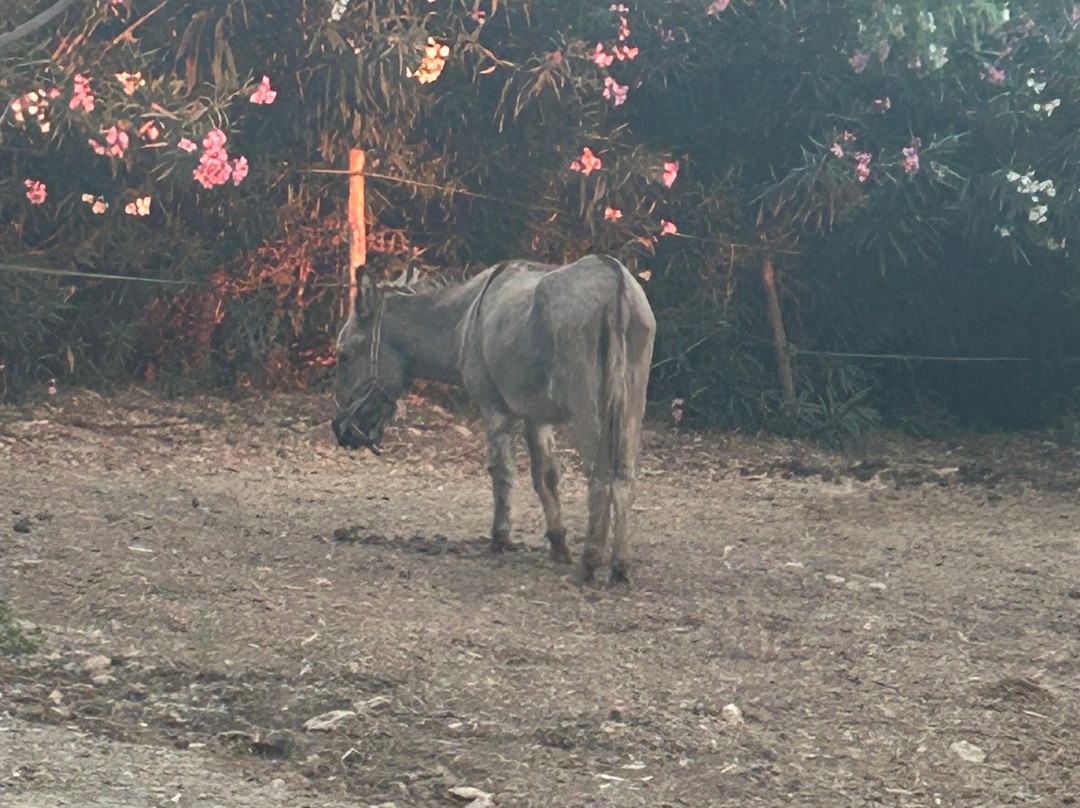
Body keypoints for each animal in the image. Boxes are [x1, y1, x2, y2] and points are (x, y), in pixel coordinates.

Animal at [331, 254, 656, 584]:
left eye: (343, 355)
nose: (341, 431)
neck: (463, 321)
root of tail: (613, 276)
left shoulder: (493, 408)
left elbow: (501, 470)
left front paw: (500, 538)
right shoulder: (535, 416)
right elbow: (546, 476)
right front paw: (558, 544)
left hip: (587, 407)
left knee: (599, 476)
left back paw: (590, 561)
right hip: (631, 405)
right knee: (624, 476)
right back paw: (620, 566)